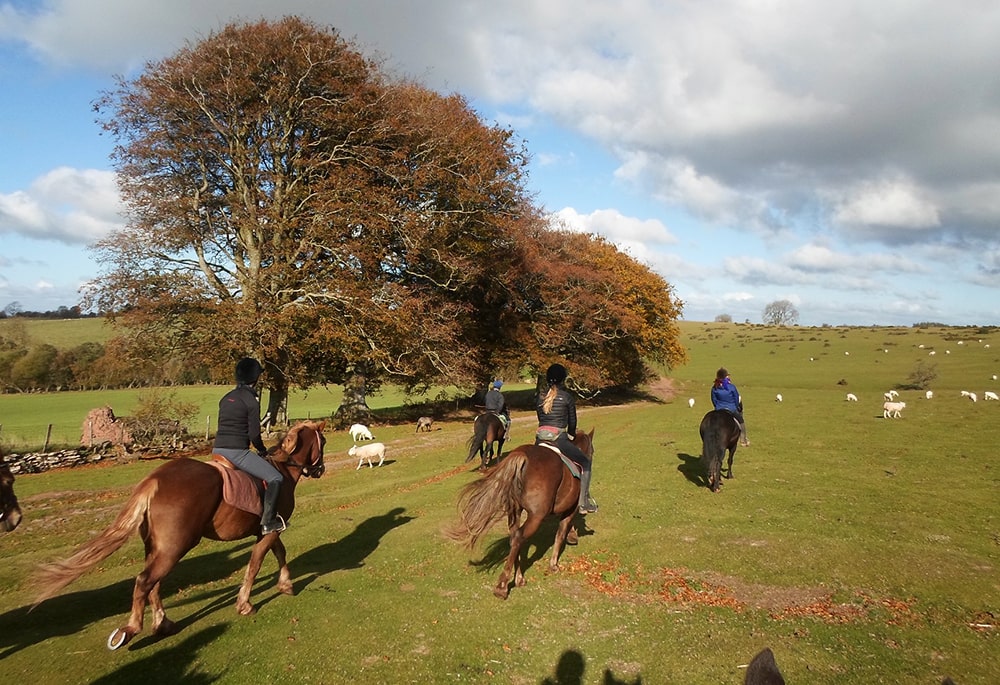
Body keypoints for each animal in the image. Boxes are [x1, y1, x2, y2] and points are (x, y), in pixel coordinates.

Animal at [31, 416, 326, 648]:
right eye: (322, 443)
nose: (320, 470)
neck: (282, 470)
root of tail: (155, 480)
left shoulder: (267, 532)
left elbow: (279, 552)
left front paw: (286, 584)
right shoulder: (270, 530)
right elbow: (256, 564)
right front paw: (246, 603)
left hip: (158, 547)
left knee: (153, 583)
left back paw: (163, 623)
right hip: (175, 547)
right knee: (145, 581)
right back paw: (133, 629)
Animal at [448, 428, 592, 600]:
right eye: (592, 450)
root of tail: (522, 455)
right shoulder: (571, 508)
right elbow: (561, 532)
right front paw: (554, 564)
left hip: (515, 512)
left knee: (515, 538)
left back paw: (519, 578)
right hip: (536, 516)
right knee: (518, 537)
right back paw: (502, 586)